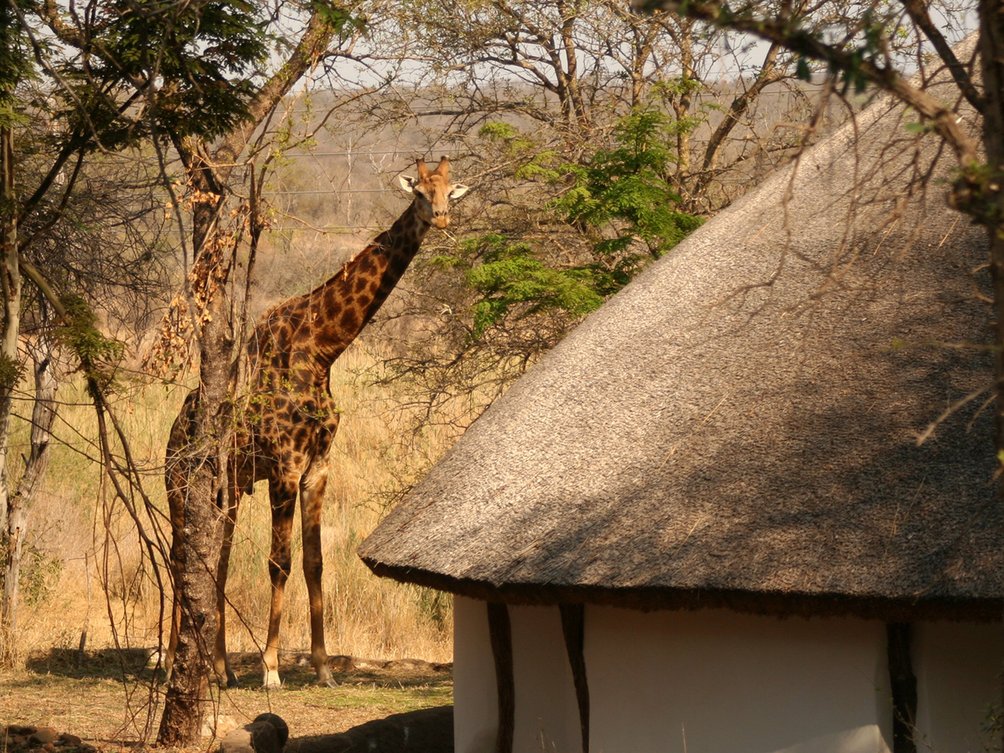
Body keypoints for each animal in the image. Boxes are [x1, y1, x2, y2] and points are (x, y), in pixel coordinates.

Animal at [166, 156, 471, 686]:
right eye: (418, 191)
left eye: (450, 190)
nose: (441, 218)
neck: (323, 350)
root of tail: (174, 429)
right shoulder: (285, 466)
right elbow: (279, 562)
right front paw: (271, 669)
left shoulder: (317, 467)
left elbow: (314, 563)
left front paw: (324, 667)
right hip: (179, 484)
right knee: (180, 558)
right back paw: (166, 665)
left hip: (226, 490)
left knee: (214, 560)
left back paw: (220, 669)